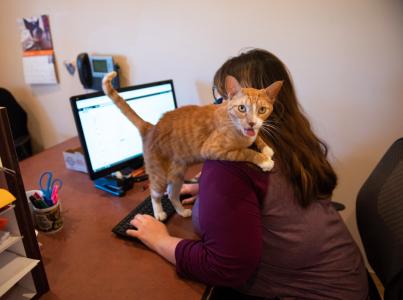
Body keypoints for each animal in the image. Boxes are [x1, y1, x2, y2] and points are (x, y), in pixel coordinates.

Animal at [102, 71, 282, 219]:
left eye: (262, 110)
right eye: (242, 108)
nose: (251, 123)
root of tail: (151, 127)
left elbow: (256, 137)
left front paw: (266, 148)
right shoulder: (213, 149)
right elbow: (245, 151)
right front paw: (264, 160)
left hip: (177, 175)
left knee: (172, 194)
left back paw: (181, 211)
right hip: (159, 175)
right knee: (155, 193)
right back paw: (159, 213)